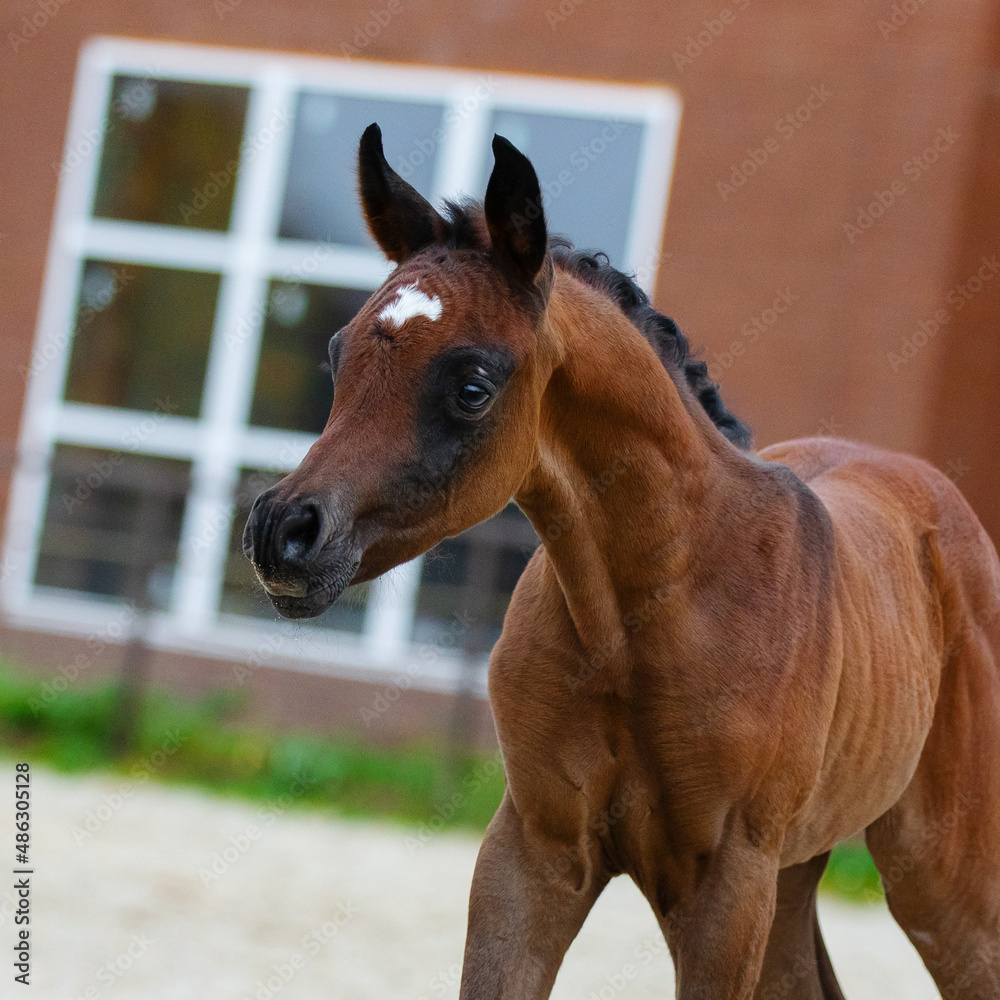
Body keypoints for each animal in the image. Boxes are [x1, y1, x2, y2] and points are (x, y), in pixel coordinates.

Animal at [243, 123, 1000, 999]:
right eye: (341, 353)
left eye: (472, 384)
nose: (283, 531)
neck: (646, 611)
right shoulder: (534, 852)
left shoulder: (726, 884)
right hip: (795, 874)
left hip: (941, 881)